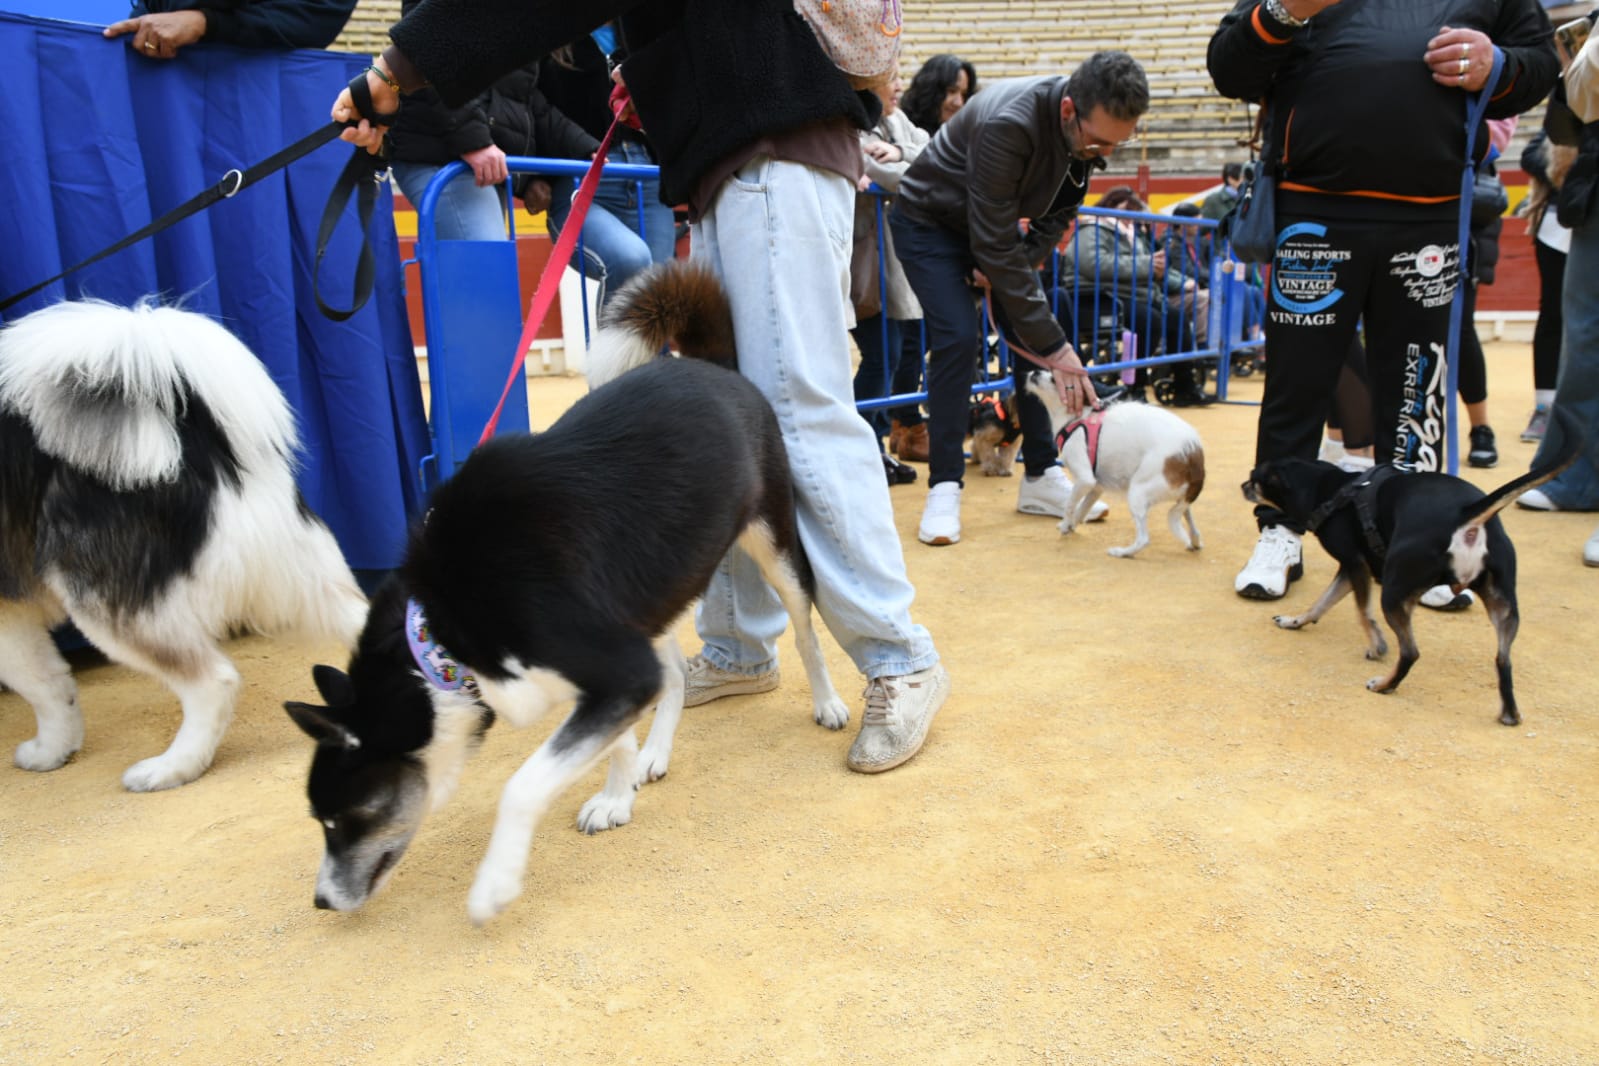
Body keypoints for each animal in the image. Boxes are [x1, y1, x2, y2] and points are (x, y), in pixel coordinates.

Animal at [0, 300, 366, 792]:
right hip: (300, 578)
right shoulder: (9, 613)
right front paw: (53, 751)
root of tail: (195, 437)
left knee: (214, 681)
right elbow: (46, 682)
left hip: (111, 601)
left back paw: (171, 768)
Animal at [292, 260, 857, 926]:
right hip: (652, 591)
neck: (438, 635)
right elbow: (618, 736)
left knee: (805, 631)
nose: (322, 901)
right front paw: (618, 793)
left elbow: (521, 787)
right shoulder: (611, 673)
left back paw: (827, 703)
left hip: (772, 545)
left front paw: (494, 884)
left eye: (341, 818)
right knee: (672, 673)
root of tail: (715, 367)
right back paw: (656, 755)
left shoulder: (613, 672)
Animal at [1023, 370, 1202, 559]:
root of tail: (1194, 456)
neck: (1076, 417)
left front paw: (1066, 525)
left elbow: (1070, 505)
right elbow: (1082, 509)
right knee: (1194, 529)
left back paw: (1122, 552)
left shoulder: (1085, 480)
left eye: (1054, 378)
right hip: (1181, 502)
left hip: (1138, 492)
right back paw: (1194, 543)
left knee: (1143, 539)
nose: (1035, 371)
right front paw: (1070, 525)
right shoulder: (1096, 486)